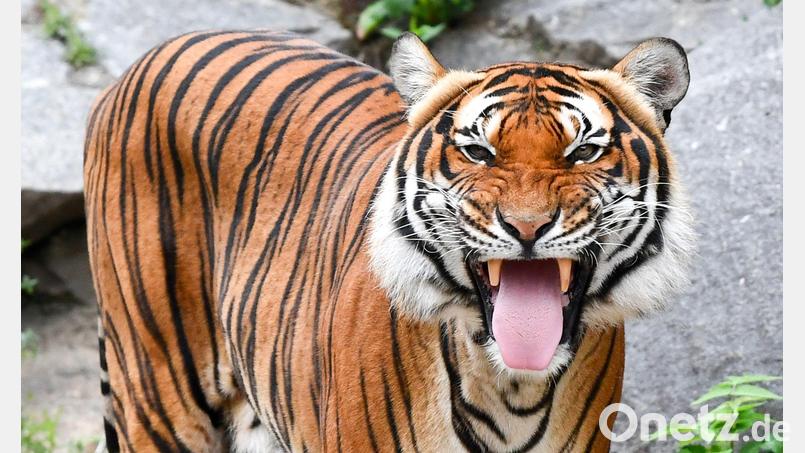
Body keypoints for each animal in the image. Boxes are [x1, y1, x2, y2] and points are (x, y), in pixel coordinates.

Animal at [83, 29, 694, 452]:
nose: (526, 226)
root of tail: (146, 59)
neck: (512, 388)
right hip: (158, 394)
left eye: (584, 152)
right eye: (478, 152)